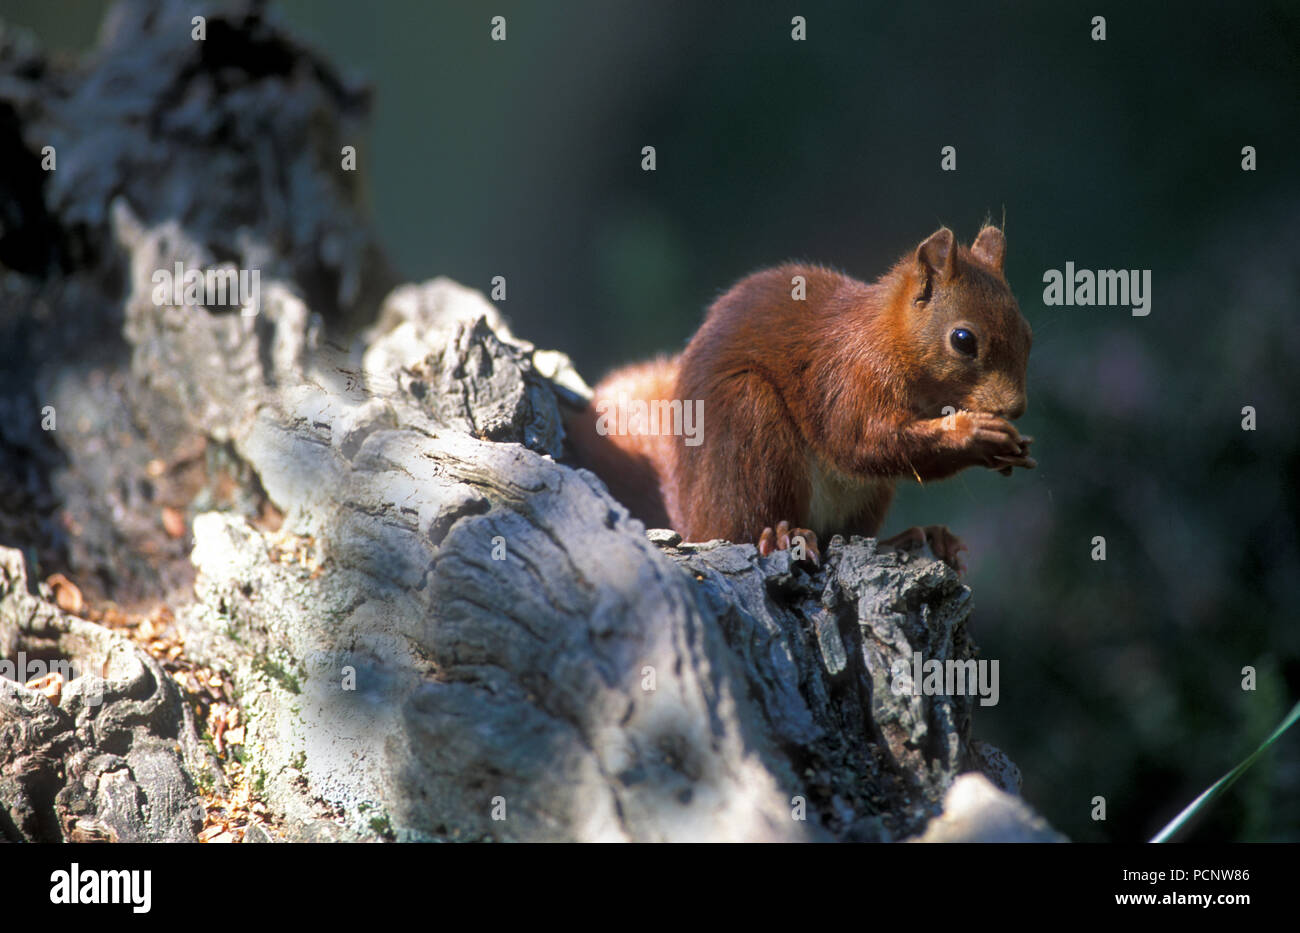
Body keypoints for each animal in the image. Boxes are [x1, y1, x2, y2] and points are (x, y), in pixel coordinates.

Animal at [566, 225, 1034, 570]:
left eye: (1028, 335)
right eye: (963, 340)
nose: (1016, 408)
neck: (889, 339)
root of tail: (689, 514)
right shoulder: (847, 379)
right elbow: (863, 442)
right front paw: (975, 435)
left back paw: (917, 537)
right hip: (748, 421)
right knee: (742, 527)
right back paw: (782, 535)